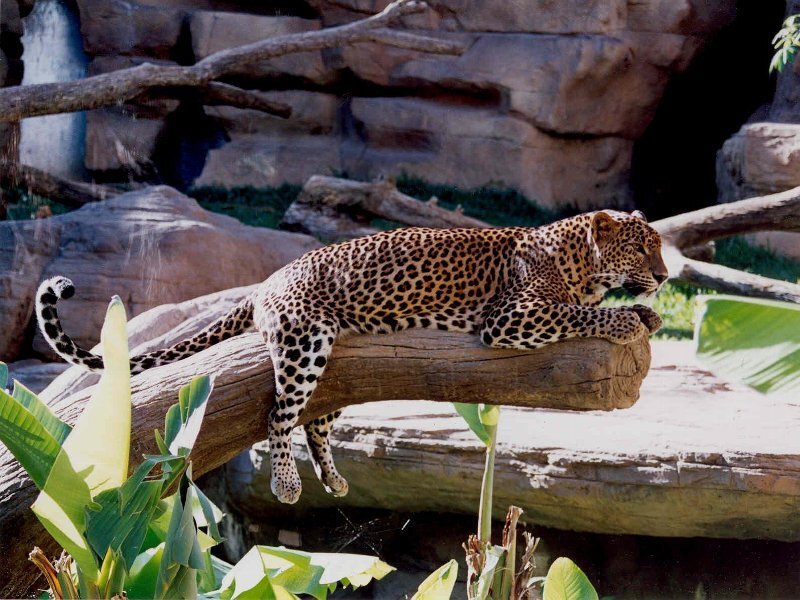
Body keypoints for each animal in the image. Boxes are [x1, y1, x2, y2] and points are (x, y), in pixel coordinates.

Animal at [36, 209, 667, 504]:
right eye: (642, 248)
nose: (664, 277)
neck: (583, 264)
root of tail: (265, 284)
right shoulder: (511, 317)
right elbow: (579, 315)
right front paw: (627, 319)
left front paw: (648, 313)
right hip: (306, 341)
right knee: (280, 414)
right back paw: (288, 484)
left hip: (341, 367)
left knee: (315, 420)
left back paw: (334, 480)